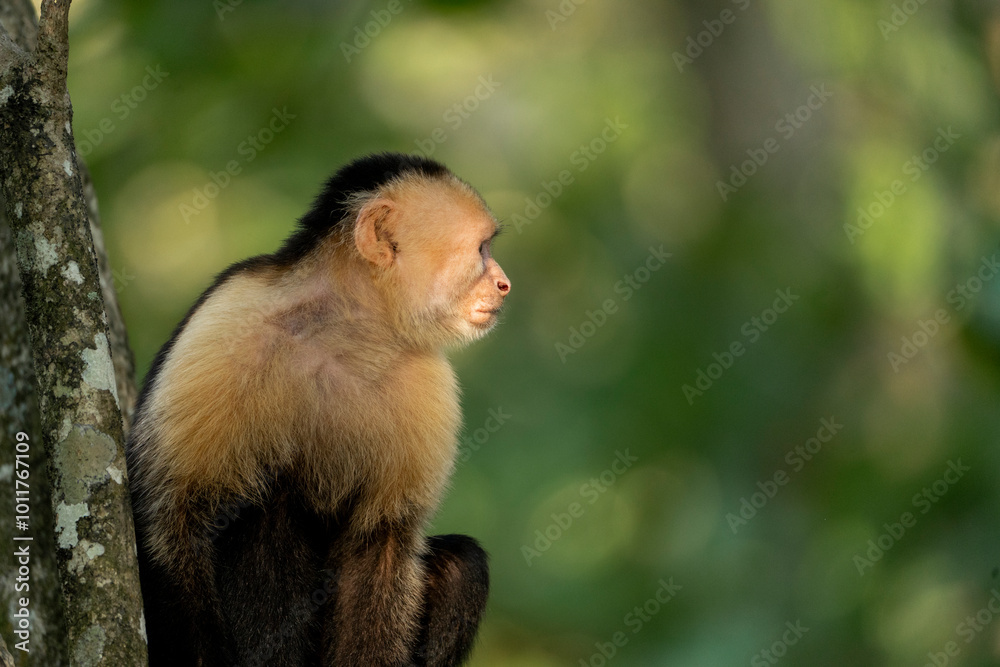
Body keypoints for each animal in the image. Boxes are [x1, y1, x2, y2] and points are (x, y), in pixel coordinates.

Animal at [125, 152, 511, 667]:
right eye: (482, 250)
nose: (504, 284)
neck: (343, 329)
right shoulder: (227, 319)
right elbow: (172, 520)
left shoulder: (428, 381)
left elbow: (379, 548)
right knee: (266, 509)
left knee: (462, 564)